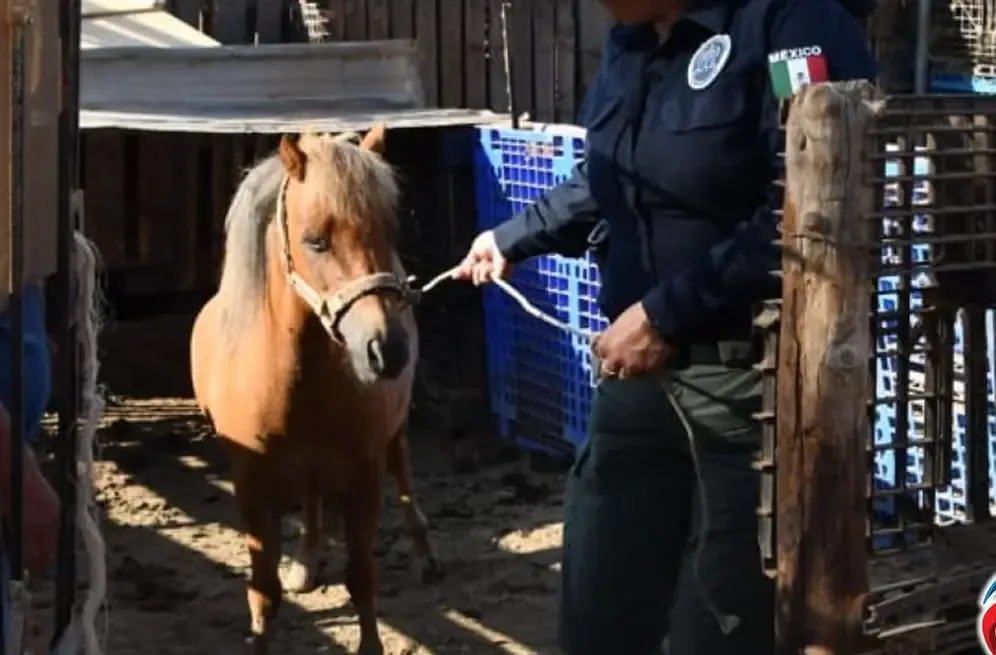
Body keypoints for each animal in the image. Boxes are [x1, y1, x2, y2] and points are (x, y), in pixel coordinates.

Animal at [190, 126, 441, 654]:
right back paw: (306, 561)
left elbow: (362, 576)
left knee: (403, 473)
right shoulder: (251, 485)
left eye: (388, 231)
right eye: (315, 241)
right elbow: (264, 592)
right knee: (311, 499)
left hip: (392, 436)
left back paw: (424, 554)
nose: (387, 348)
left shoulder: (364, 474)